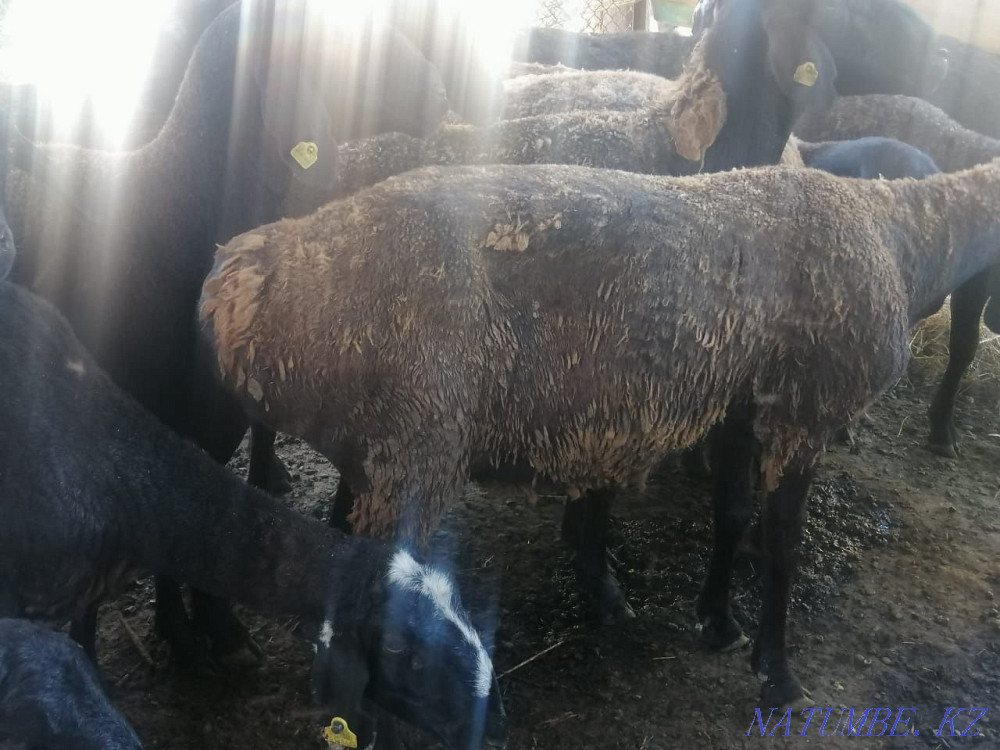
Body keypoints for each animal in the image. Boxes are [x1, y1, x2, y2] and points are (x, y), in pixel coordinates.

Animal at [201, 156, 1000, 710]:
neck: (902, 235)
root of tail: (245, 277)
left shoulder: (745, 405)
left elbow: (732, 517)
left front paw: (717, 620)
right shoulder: (805, 411)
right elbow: (781, 548)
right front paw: (778, 675)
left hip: (373, 453)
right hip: (413, 446)